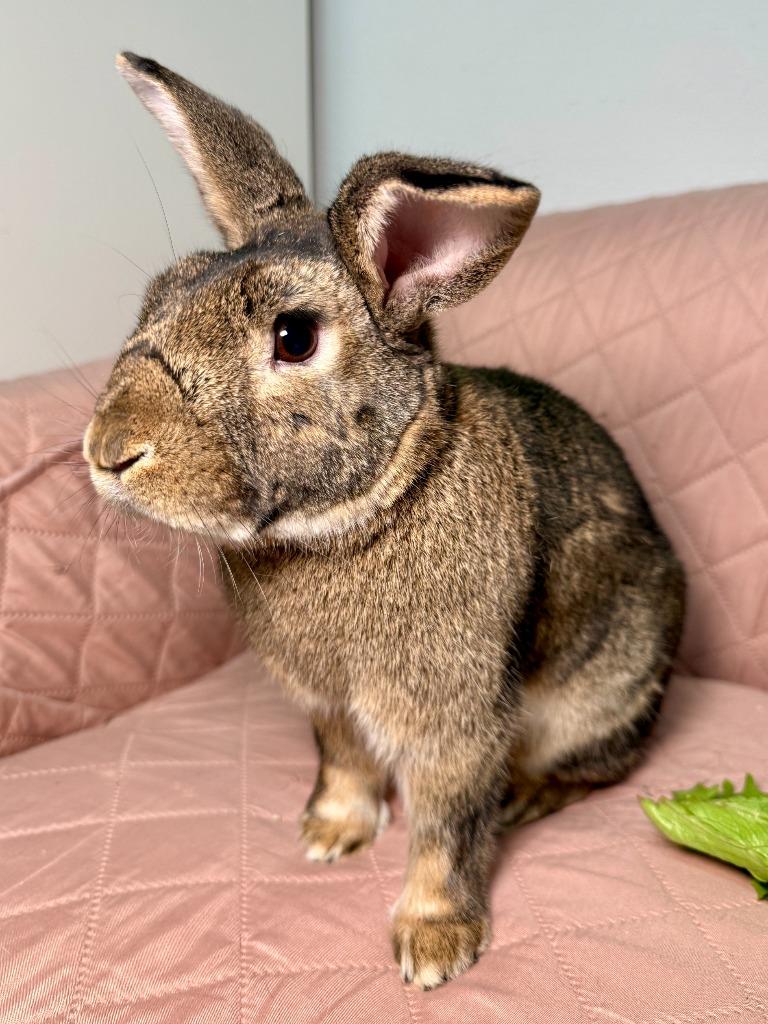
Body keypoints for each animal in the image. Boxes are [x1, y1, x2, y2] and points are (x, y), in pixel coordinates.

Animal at [84, 53, 686, 990]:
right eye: (157, 297)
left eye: (295, 337)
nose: (110, 450)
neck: (360, 513)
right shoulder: (327, 700)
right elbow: (343, 761)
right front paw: (330, 832)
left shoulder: (453, 717)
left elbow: (444, 829)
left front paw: (434, 945)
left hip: (608, 683)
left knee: (600, 764)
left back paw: (529, 797)